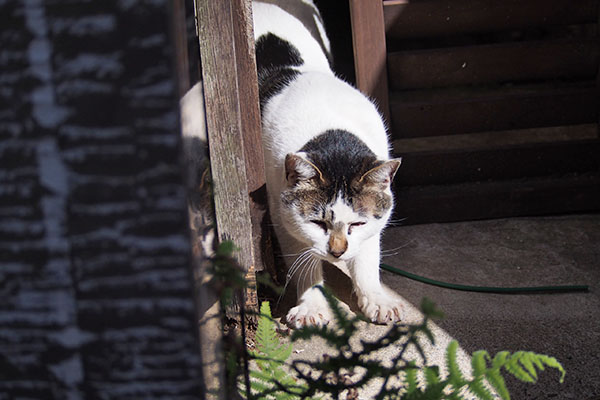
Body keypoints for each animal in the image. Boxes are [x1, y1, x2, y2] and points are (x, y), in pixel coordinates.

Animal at [253, 0, 404, 328]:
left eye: (358, 223)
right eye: (317, 223)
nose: (337, 251)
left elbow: (368, 254)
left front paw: (377, 298)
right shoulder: (281, 212)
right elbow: (303, 261)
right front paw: (311, 306)